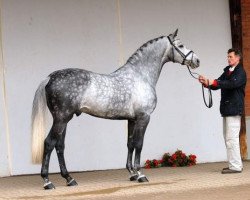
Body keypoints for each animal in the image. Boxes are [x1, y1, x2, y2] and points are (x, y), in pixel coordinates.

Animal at [30, 29, 199, 189]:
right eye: (181, 45)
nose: (197, 60)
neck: (141, 76)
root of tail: (50, 77)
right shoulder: (144, 117)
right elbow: (139, 144)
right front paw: (140, 174)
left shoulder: (132, 119)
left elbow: (130, 144)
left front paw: (132, 174)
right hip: (61, 118)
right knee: (49, 143)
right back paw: (47, 182)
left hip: (64, 120)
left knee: (59, 146)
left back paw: (69, 179)